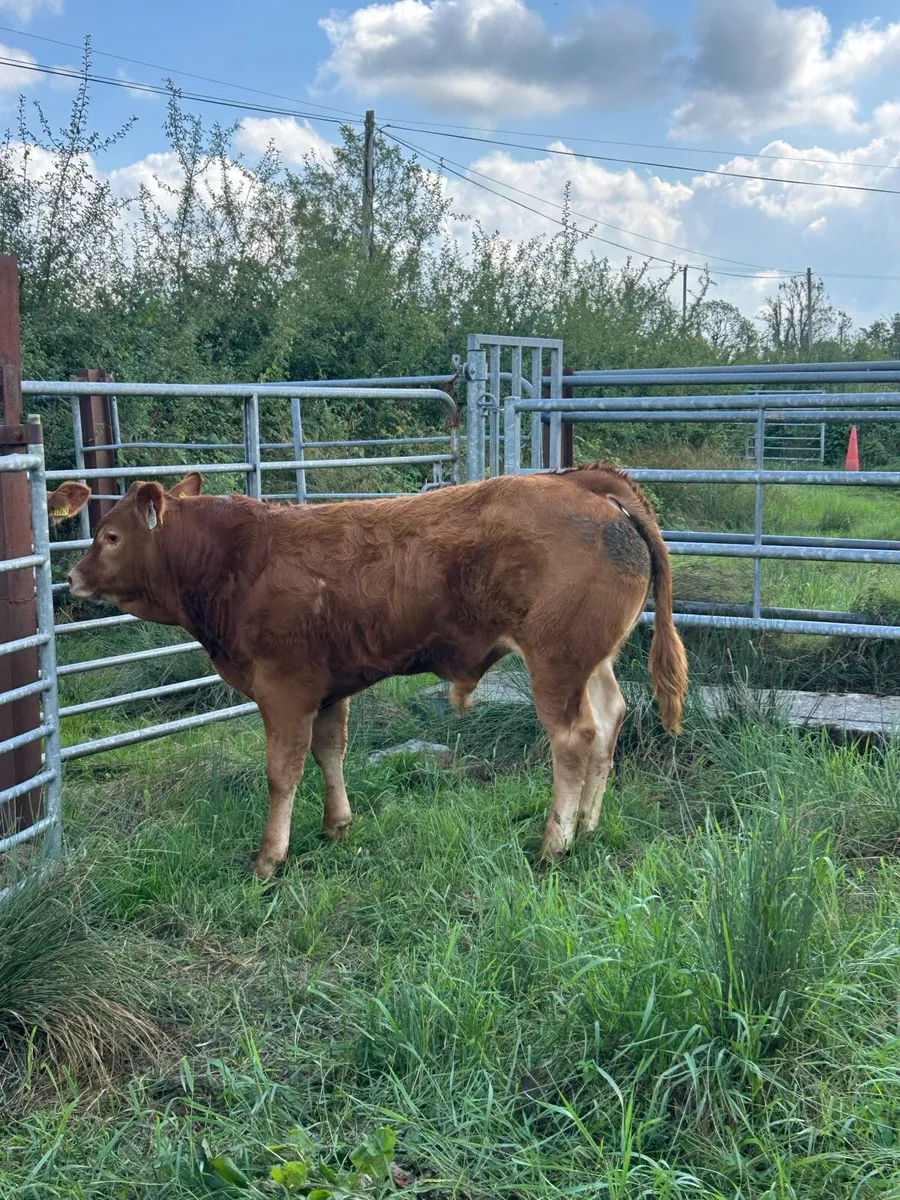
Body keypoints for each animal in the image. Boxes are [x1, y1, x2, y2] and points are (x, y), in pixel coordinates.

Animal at [53, 464, 688, 877]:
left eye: (110, 536)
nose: (71, 578)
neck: (237, 558)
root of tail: (578, 481)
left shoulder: (283, 688)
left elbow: (282, 772)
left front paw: (269, 858)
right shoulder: (329, 688)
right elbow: (330, 753)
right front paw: (337, 826)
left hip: (555, 662)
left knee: (574, 739)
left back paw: (555, 844)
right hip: (591, 660)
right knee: (609, 721)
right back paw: (589, 826)